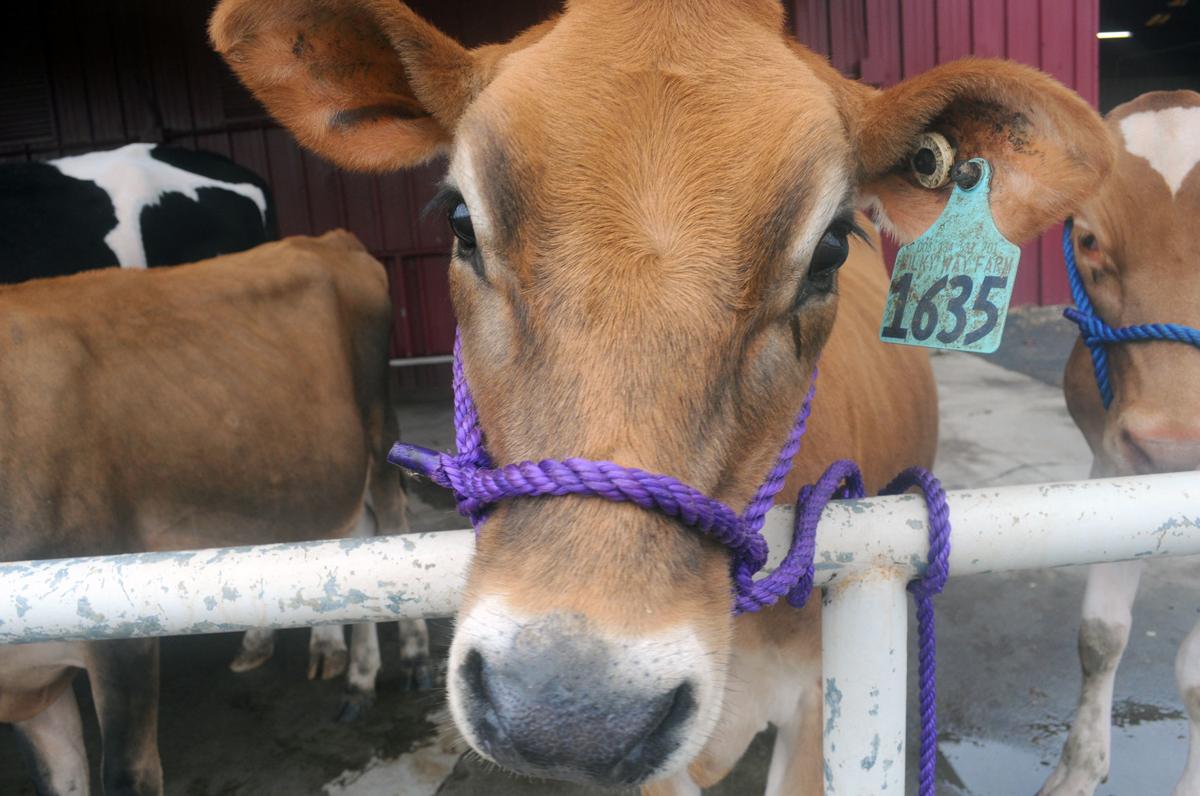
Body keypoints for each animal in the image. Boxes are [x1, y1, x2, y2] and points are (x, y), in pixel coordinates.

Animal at [0, 231, 412, 794]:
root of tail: (324, 238)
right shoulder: (27, 681)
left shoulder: (121, 643)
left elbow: (128, 774)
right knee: (353, 536)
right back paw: (340, 664)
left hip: (380, 431)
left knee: (391, 527)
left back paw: (405, 659)